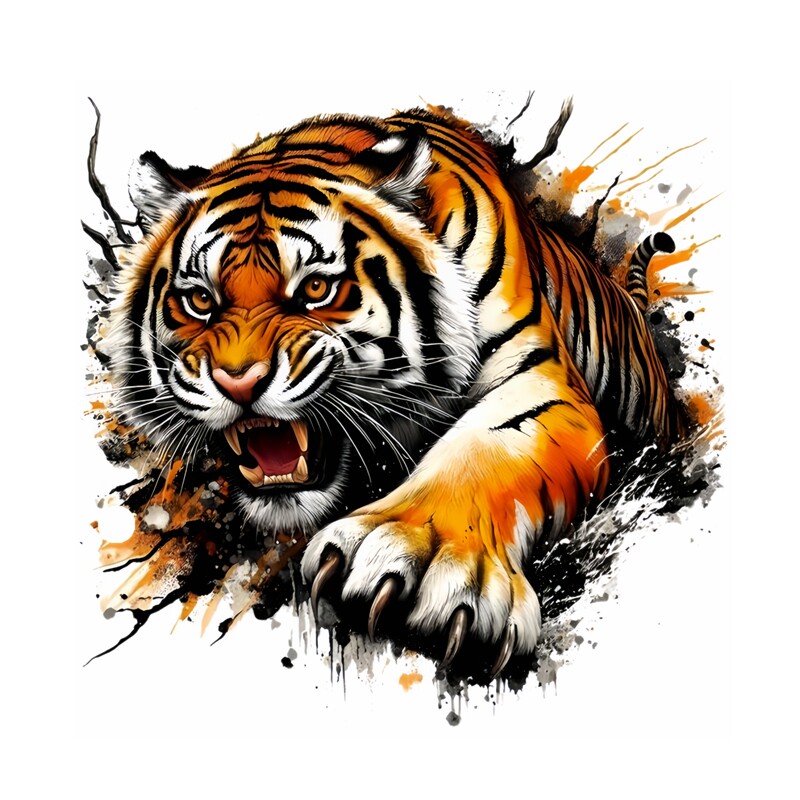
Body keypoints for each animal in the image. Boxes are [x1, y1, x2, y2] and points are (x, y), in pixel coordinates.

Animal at [105, 104, 683, 679]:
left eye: (317, 289)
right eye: (200, 299)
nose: (238, 381)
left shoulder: (540, 378)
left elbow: (484, 448)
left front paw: (424, 555)